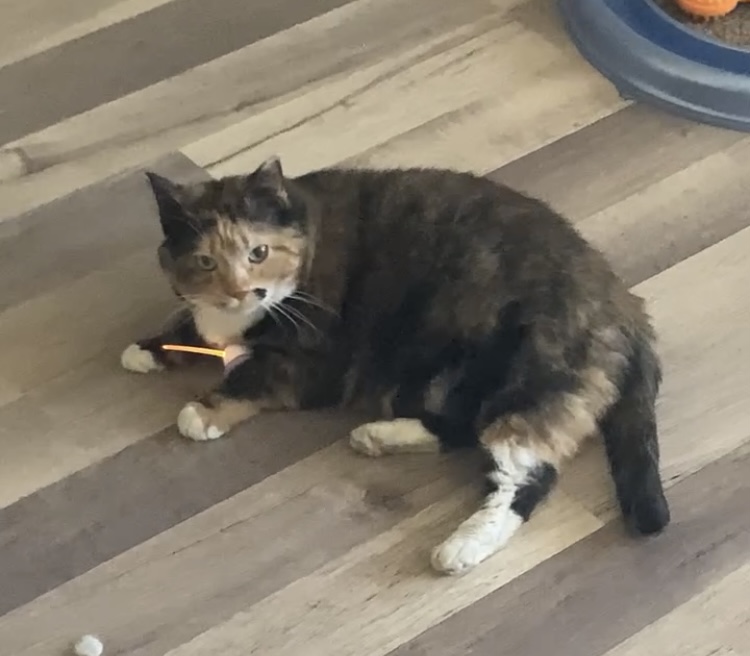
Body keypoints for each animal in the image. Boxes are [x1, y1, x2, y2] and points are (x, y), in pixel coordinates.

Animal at [121, 156, 670, 575]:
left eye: (258, 252)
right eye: (206, 262)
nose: (241, 292)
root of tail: (624, 305)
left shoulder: (315, 364)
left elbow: (249, 376)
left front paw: (201, 412)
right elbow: (190, 324)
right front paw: (145, 349)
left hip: (527, 381)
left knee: (525, 476)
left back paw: (460, 547)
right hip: (456, 378)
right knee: (462, 429)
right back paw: (383, 435)